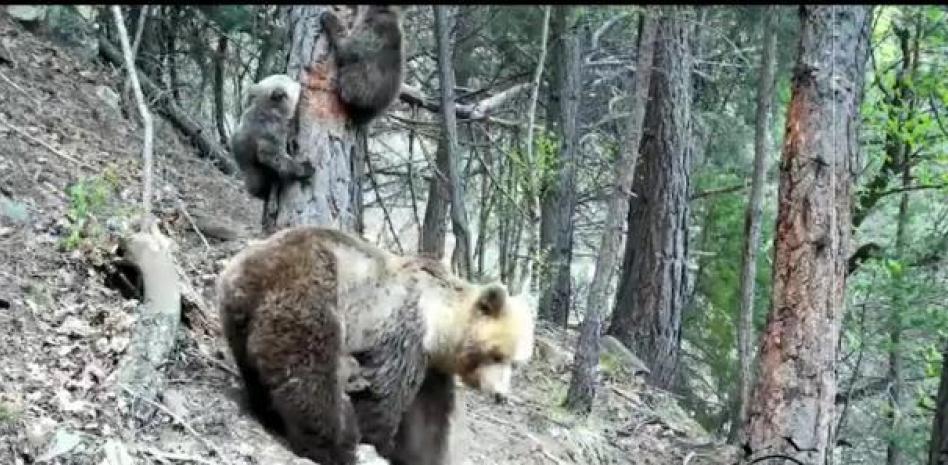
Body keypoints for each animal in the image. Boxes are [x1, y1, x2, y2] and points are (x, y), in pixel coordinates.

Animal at [216, 226, 534, 465]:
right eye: (497, 354)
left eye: (516, 363)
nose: (501, 395)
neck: (439, 327)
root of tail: (244, 267)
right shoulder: (404, 332)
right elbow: (384, 393)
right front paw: (377, 439)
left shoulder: (431, 366)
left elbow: (427, 419)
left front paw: (420, 455)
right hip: (312, 291)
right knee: (312, 373)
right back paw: (337, 443)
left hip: (240, 317)